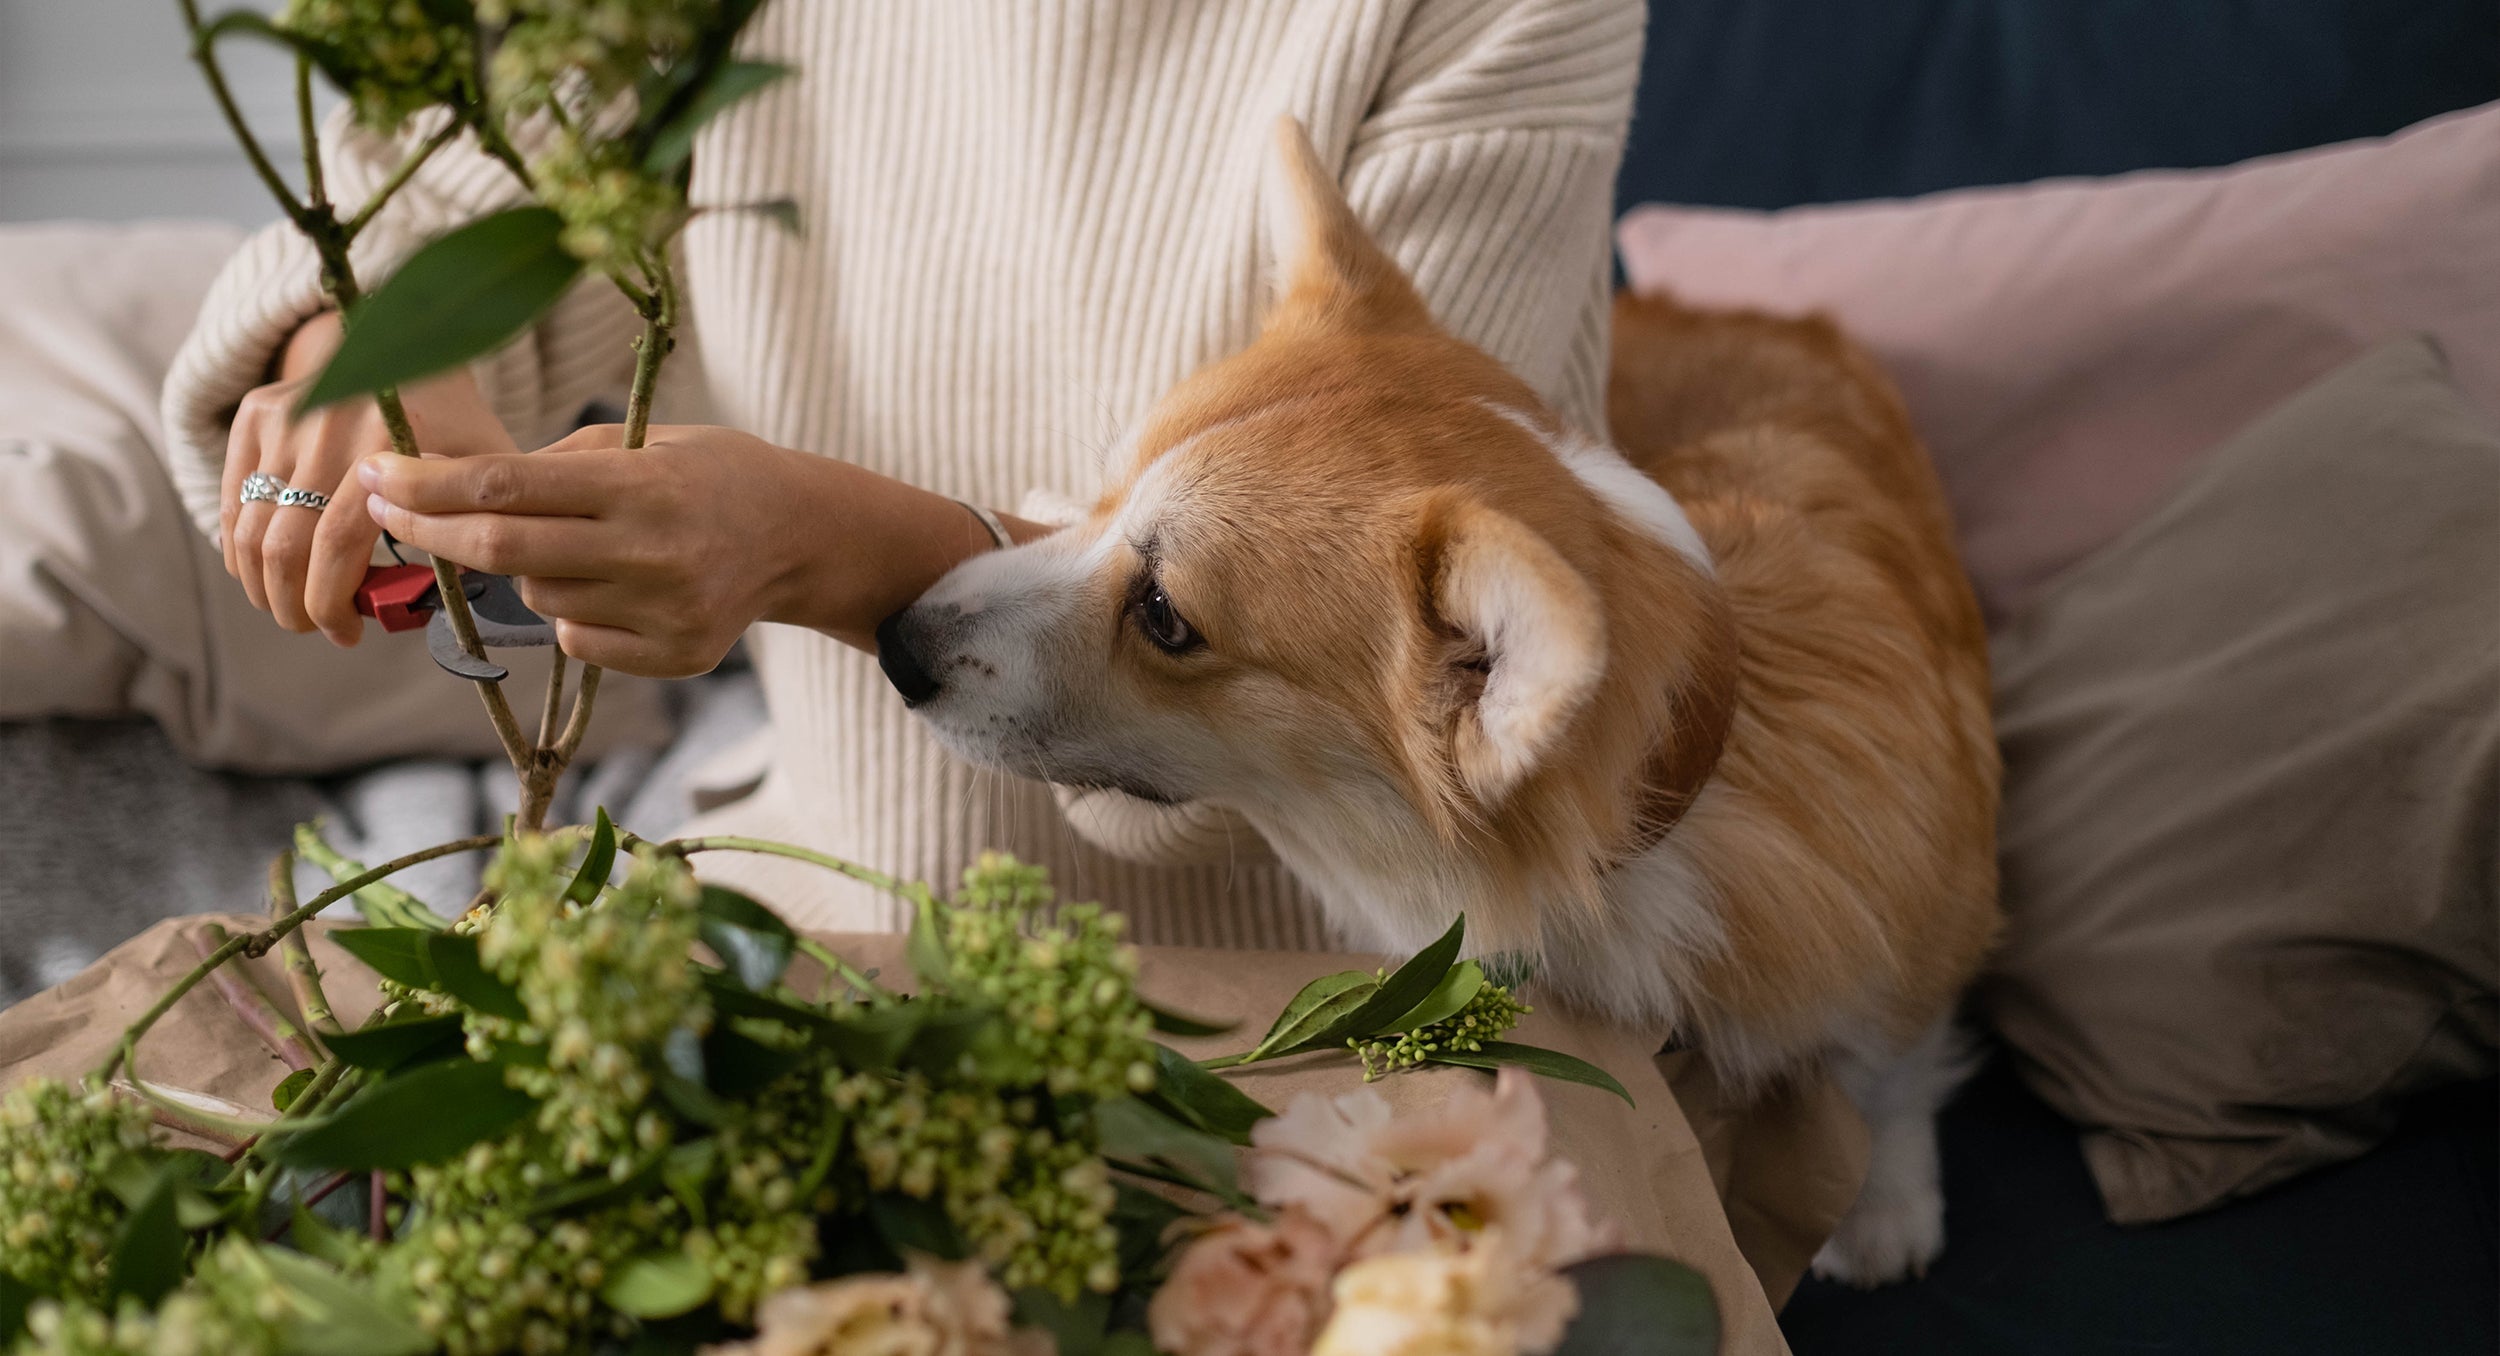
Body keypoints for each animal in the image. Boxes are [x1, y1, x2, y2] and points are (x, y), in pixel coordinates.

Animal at [880, 116, 1990, 1290]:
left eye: (1166, 616)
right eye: (1108, 495)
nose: (895, 641)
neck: (1660, 819)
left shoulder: (1922, 924)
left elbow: (1888, 1063)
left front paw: (1880, 1205)